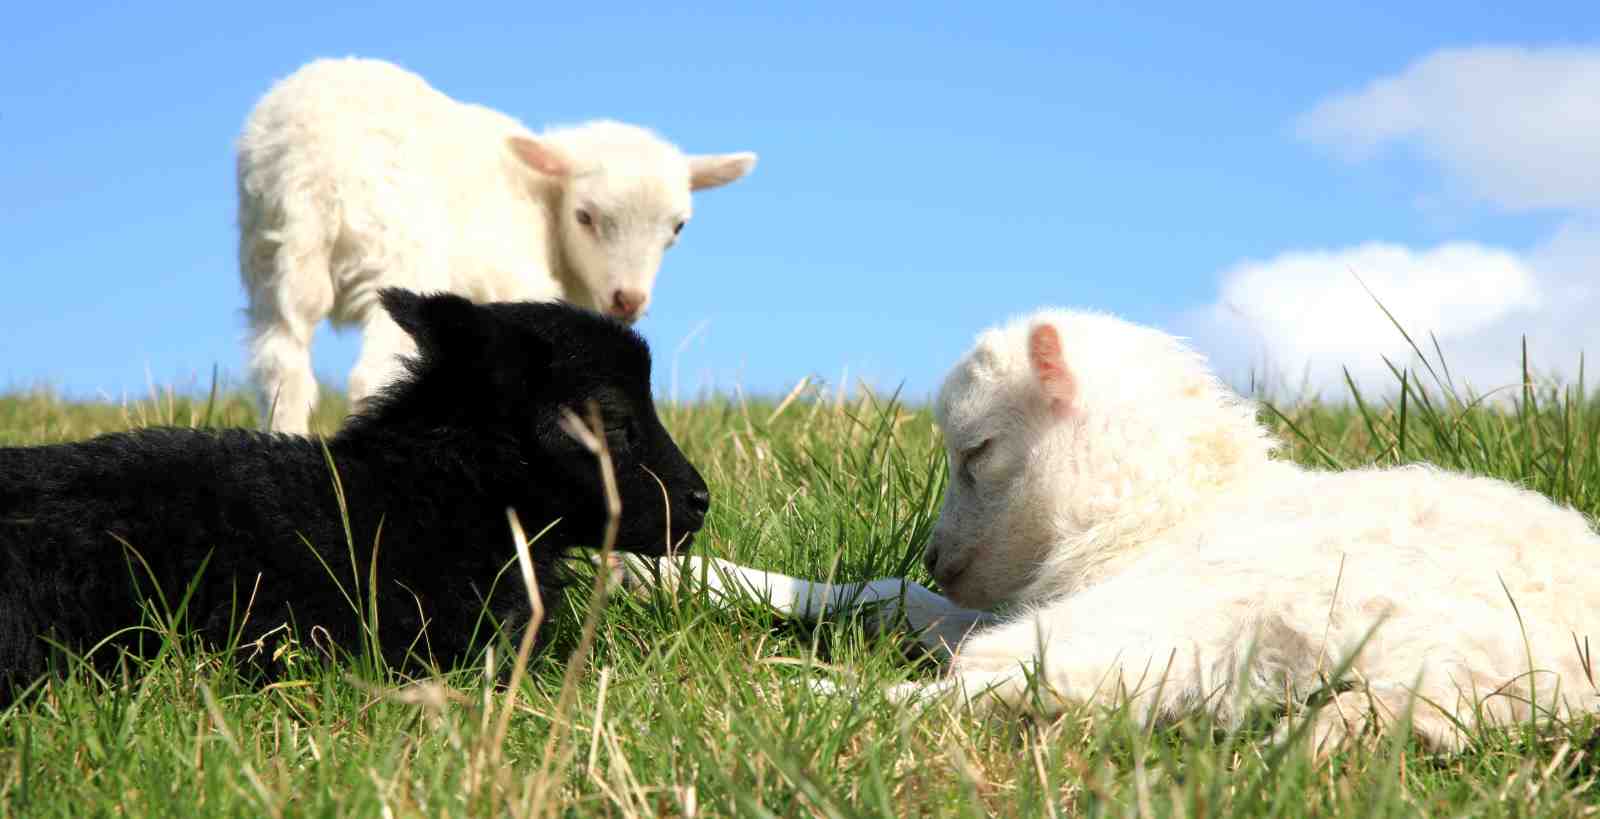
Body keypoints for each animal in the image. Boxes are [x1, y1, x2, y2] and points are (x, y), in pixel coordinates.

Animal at [236, 56, 758, 434]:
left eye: (677, 227)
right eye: (584, 216)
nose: (627, 300)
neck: (545, 206)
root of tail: (311, 161)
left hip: (271, 255)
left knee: (280, 368)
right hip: (398, 254)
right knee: (372, 373)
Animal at [620, 308, 1600, 755]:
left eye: (976, 450)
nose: (940, 553)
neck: (1169, 507)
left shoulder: (1131, 605)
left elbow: (976, 654)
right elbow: (887, 596)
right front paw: (682, 579)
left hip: (1234, 616)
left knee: (1006, 683)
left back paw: (800, 700)